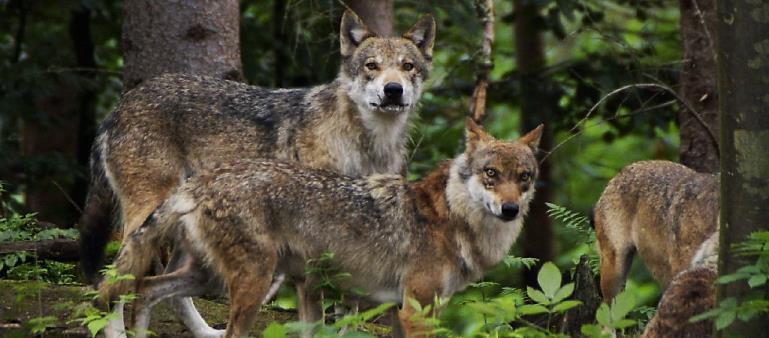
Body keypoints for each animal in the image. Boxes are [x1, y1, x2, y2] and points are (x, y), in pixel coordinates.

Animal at [82, 9, 438, 336]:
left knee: (168, 290)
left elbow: (347, 311)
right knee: (119, 276)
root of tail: (118, 107)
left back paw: (204, 331)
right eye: (371, 66)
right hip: (147, 218)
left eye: (407, 66)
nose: (393, 89)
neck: (366, 144)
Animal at [99, 120, 544, 338]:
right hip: (253, 283)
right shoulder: (416, 311)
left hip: (208, 276)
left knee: (144, 288)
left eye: (523, 177)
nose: (510, 209)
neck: (452, 218)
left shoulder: (399, 312)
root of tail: (202, 180)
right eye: (490, 174)